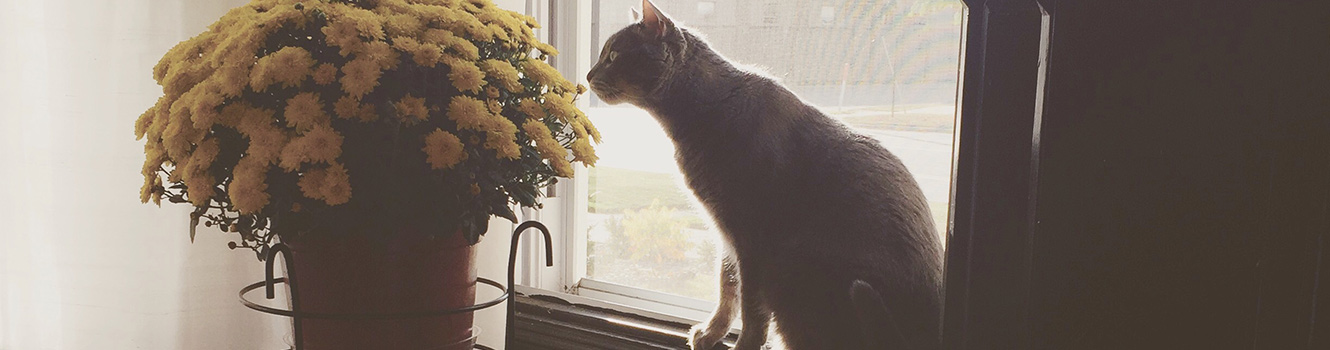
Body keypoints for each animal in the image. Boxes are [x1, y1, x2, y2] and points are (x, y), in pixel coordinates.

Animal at [585, 1, 946, 348]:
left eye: (614, 55)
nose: (588, 75)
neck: (699, 113)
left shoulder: (750, 236)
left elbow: (751, 308)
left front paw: (743, 345)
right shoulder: (725, 231)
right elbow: (726, 286)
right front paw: (710, 334)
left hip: (791, 272)